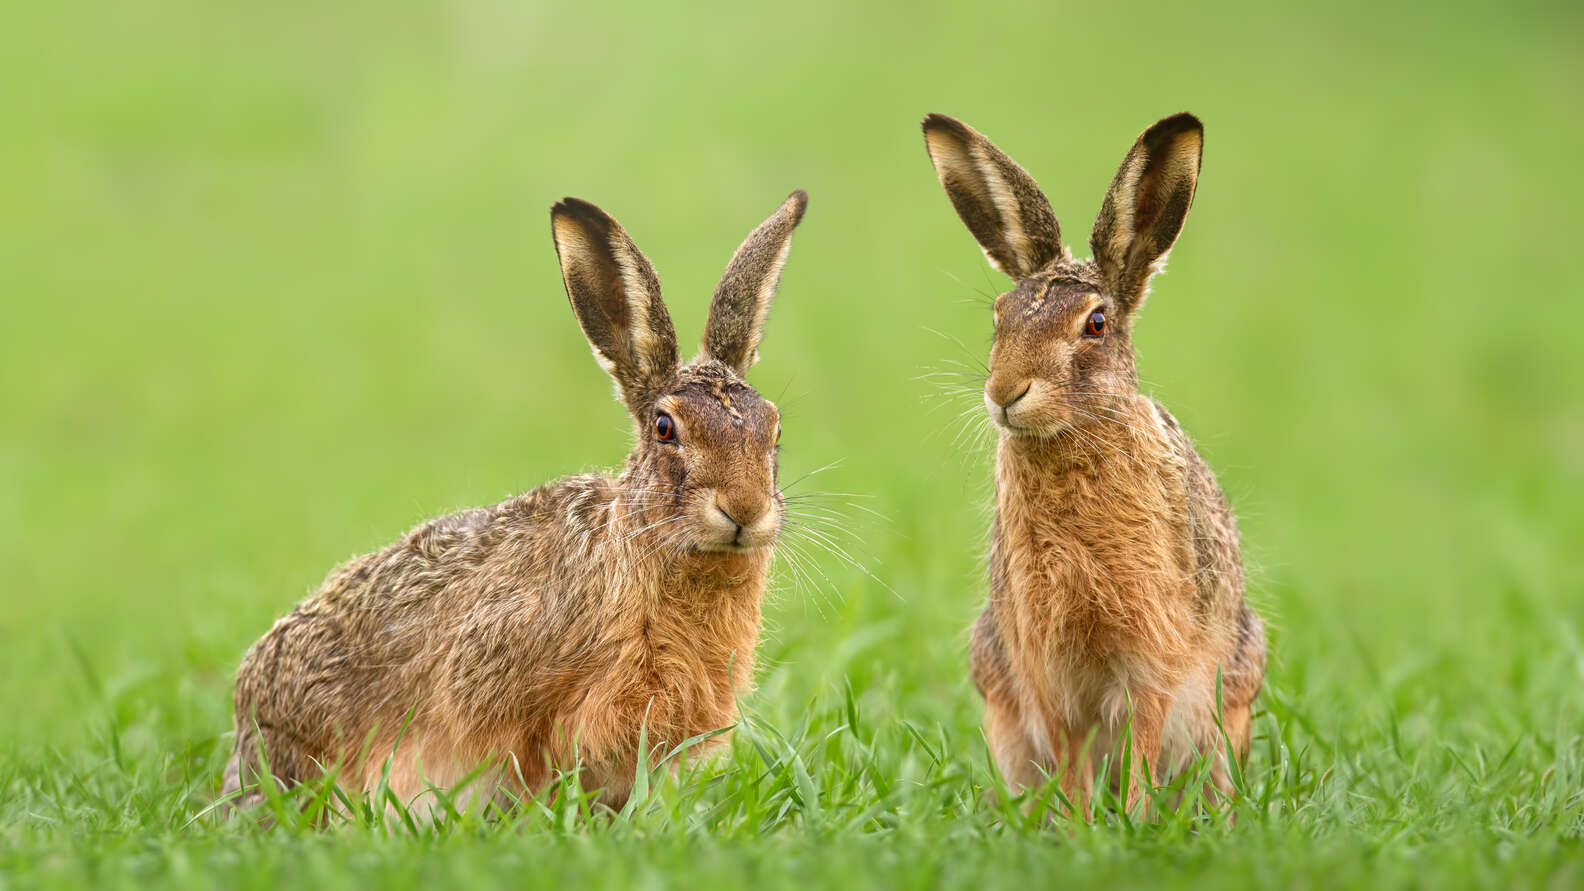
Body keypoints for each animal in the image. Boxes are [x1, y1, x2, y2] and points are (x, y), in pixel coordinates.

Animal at [921, 113, 1265, 816]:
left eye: (1097, 324)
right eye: (999, 317)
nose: (1005, 393)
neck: (1071, 438)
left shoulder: (1152, 651)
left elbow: (1143, 739)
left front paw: (1129, 821)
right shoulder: (1041, 659)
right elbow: (1068, 750)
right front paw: (1083, 826)